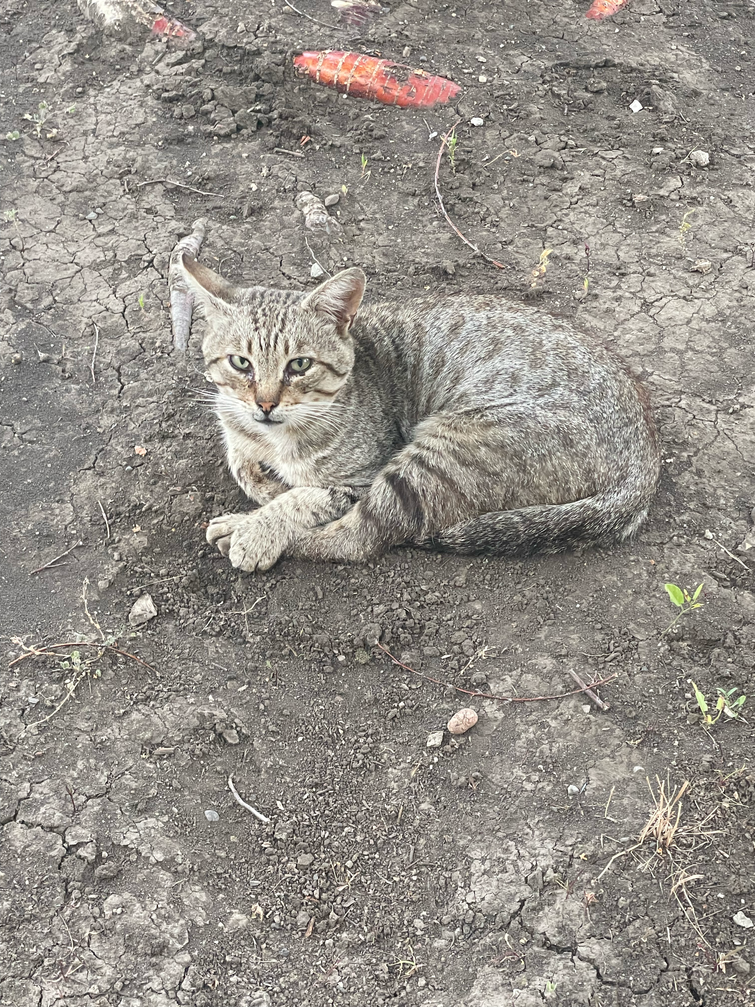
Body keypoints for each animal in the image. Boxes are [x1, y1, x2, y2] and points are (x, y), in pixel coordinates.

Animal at [180, 255, 660, 576]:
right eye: (240, 363)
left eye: (299, 365)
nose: (265, 404)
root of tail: (646, 459)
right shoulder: (235, 427)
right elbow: (244, 465)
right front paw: (261, 483)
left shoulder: (362, 475)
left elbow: (307, 496)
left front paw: (262, 525)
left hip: (440, 454)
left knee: (359, 538)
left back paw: (243, 529)